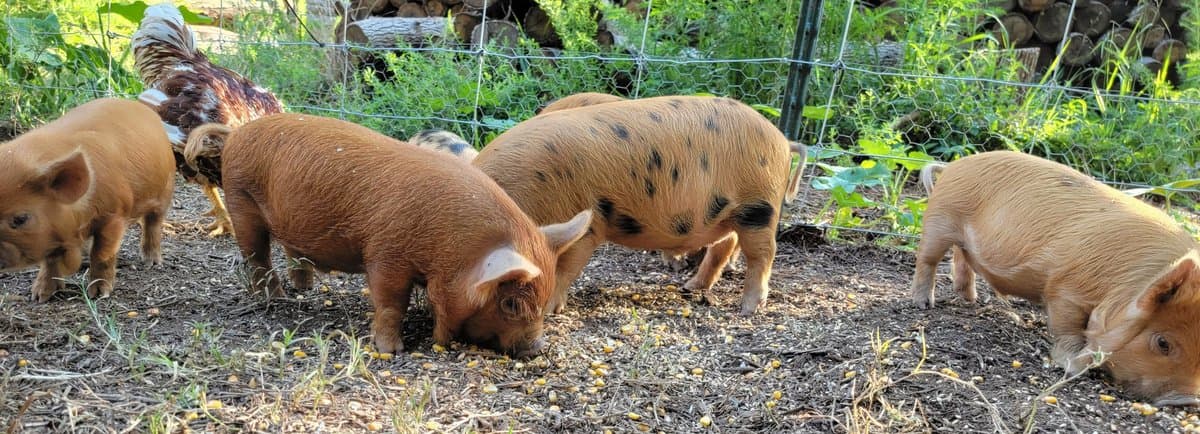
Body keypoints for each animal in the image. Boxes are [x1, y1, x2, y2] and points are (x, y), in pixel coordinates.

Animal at [0, 98, 175, 301]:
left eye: (20, 219)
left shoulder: (115, 213)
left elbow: (102, 254)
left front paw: (99, 294)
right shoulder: (52, 233)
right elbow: (49, 262)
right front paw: (39, 297)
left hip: (166, 190)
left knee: (153, 223)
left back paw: (151, 262)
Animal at [185, 113, 591, 357]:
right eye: (509, 303)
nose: (537, 348)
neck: (450, 242)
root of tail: (235, 133)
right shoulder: (385, 253)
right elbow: (391, 301)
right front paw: (390, 351)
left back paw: (303, 288)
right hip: (241, 199)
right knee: (256, 255)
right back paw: (275, 297)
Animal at [474, 95, 806, 315]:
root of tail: (782, 139)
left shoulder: (588, 227)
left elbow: (564, 269)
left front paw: (550, 311)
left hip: (759, 206)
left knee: (763, 254)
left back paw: (748, 309)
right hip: (727, 213)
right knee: (723, 246)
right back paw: (691, 287)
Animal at [912, 150, 1200, 406]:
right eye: (1162, 343)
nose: (1186, 401)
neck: (1127, 283)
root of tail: (953, 165)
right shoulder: (1067, 288)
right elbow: (1067, 327)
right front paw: (1071, 366)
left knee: (961, 258)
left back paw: (970, 299)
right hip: (940, 220)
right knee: (927, 259)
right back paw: (923, 304)